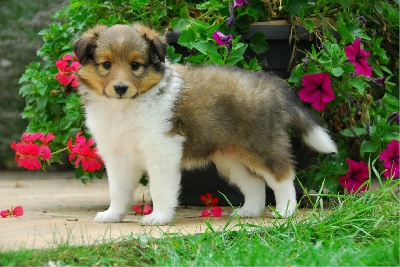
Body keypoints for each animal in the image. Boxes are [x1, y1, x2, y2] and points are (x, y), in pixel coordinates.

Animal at [73, 24, 336, 226]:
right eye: (106, 65)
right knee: (255, 183)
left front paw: (158, 218)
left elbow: (160, 188)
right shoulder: (117, 156)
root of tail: (276, 87)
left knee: (283, 177)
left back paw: (285, 211)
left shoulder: (162, 150)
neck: (126, 107)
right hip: (231, 158)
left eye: (135, 65)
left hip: (262, 146)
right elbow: (117, 190)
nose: (120, 88)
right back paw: (248, 212)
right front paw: (112, 215)